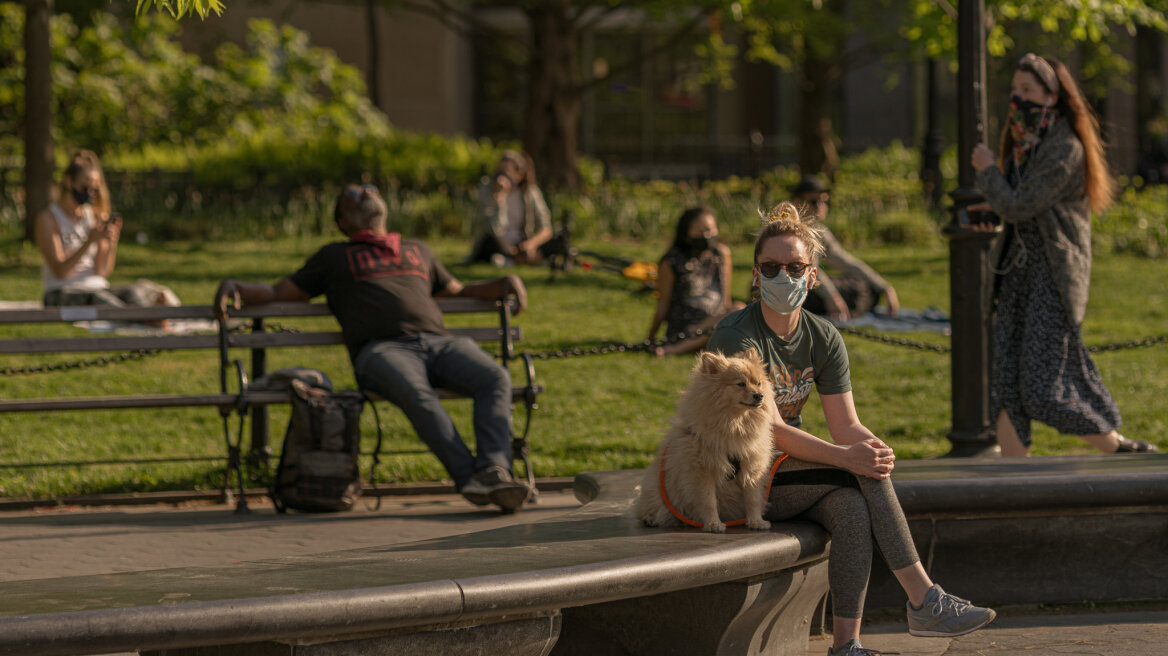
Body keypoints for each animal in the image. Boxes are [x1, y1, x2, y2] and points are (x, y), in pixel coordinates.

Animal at [635, 347, 780, 532]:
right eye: (741, 384)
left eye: (758, 383)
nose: (759, 395)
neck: (734, 424)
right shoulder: (702, 471)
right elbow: (708, 501)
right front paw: (713, 524)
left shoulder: (752, 466)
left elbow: (753, 499)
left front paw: (756, 521)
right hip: (658, 491)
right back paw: (651, 518)